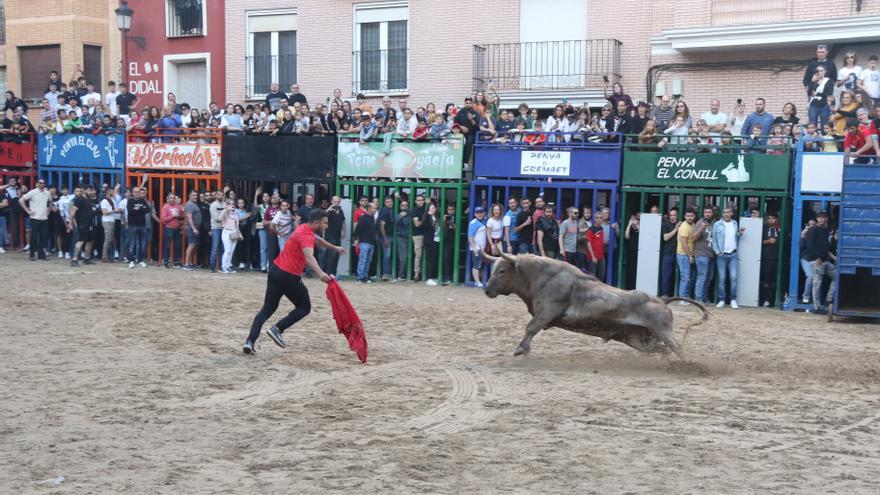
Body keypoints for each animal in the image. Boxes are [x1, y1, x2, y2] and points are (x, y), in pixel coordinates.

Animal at [482, 250, 708, 358]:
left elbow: (531, 328)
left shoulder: (546, 312)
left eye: (502, 270)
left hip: (663, 332)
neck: (542, 276)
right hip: (639, 340)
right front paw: (525, 350)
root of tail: (661, 300)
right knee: (664, 350)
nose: (486, 290)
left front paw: (521, 350)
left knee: (678, 349)